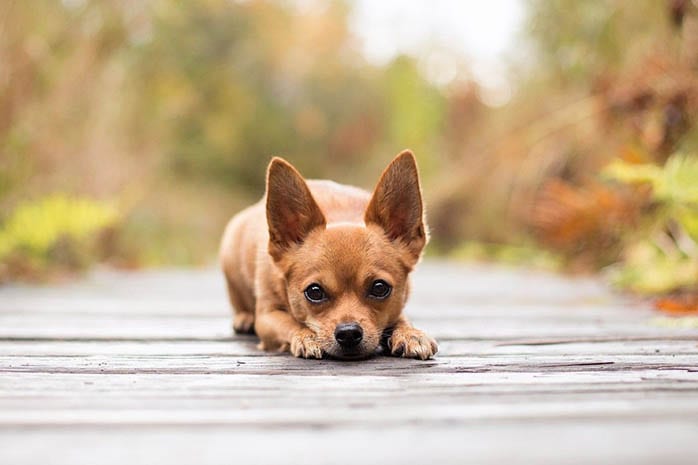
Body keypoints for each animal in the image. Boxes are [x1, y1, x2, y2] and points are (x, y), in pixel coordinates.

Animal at [219, 150, 436, 360]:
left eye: (380, 288)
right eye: (314, 292)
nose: (348, 333)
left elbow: (400, 317)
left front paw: (410, 333)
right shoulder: (267, 317)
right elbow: (291, 323)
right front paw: (307, 337)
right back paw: (245, 318)